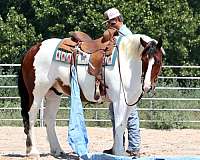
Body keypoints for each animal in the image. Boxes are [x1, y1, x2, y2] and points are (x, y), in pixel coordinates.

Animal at [17, 33, 164, 157]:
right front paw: (119, 152)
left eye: (157, 61)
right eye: (144, 59)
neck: (127, 62)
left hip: (54, 93)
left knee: (49, 120)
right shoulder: (119, 101)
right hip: (36, 93)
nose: (147, 86)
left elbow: (123, 125)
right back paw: (33, 151)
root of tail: (33, 49)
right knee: (30, 118)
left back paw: (58, 151)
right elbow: (120, 124)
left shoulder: (130, 102)